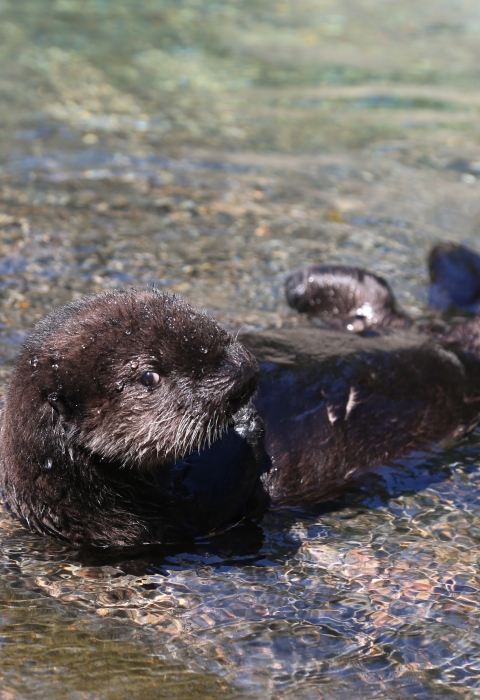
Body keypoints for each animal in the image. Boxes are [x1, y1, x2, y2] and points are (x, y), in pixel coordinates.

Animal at [2, 243, 480, 549]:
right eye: (149, 376)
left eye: (205, 324)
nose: (244, 369)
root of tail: (450, 342)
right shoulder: (157, 522)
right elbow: (234, 490)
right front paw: (248, 424)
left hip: (387, 324)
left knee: (378, 301)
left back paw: (306, 280)